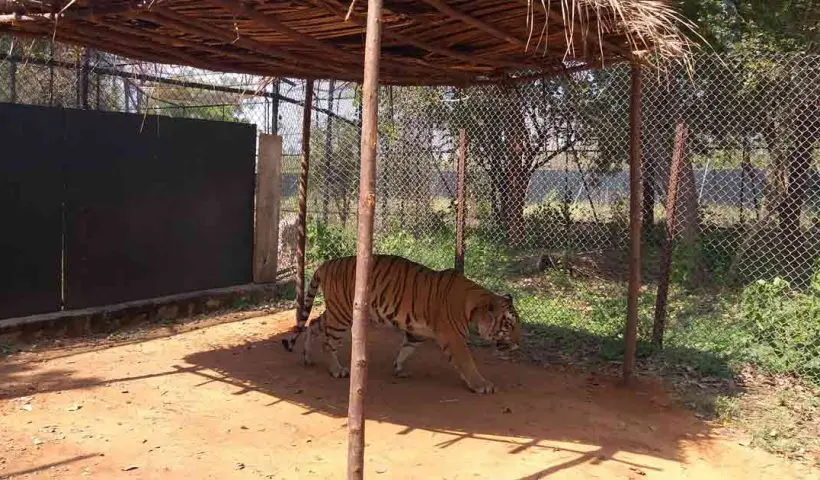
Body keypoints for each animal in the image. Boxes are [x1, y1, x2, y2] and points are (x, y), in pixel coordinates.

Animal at [281, 254, 521, 394]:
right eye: (508, 325)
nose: (519, 344)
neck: (473, 307)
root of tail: (327, 263)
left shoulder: (418, 332)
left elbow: (407, 348)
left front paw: (398, 368)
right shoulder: (454, 339)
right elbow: (467, 363)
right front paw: (482, 385)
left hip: (337, 310)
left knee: (313, 323)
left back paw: (308, 358)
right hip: (342, 315)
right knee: (327, 341)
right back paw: (337, 370)